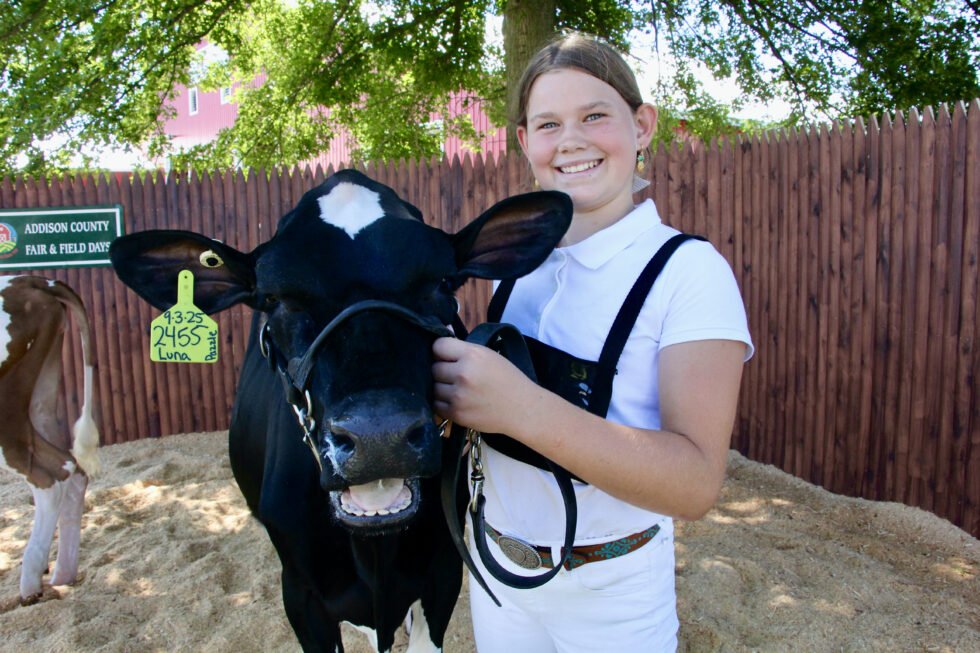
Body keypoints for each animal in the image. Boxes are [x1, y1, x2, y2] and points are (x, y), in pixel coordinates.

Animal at [0, 275, 100, 604]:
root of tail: (28, 280)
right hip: (40, 401)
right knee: (73, 470)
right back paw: (62, 574)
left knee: (52, 471)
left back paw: (30, 583)